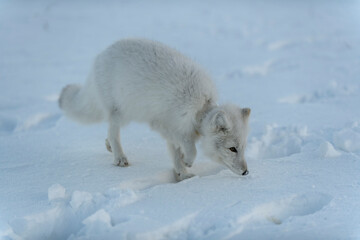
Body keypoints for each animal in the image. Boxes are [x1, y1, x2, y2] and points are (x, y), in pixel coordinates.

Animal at [59, 38, 250, 181]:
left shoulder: (174, 130)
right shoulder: (164, 124)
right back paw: (119, 157)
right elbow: (191, 148)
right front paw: (187, 162)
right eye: (232, 149)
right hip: (121, 113)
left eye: (243, 147)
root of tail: (101, 54)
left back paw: (109, 147)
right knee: (113, 133)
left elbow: (175, 154)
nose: (246, 172)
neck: (200, 109)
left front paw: (183, 174)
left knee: (109, 135)